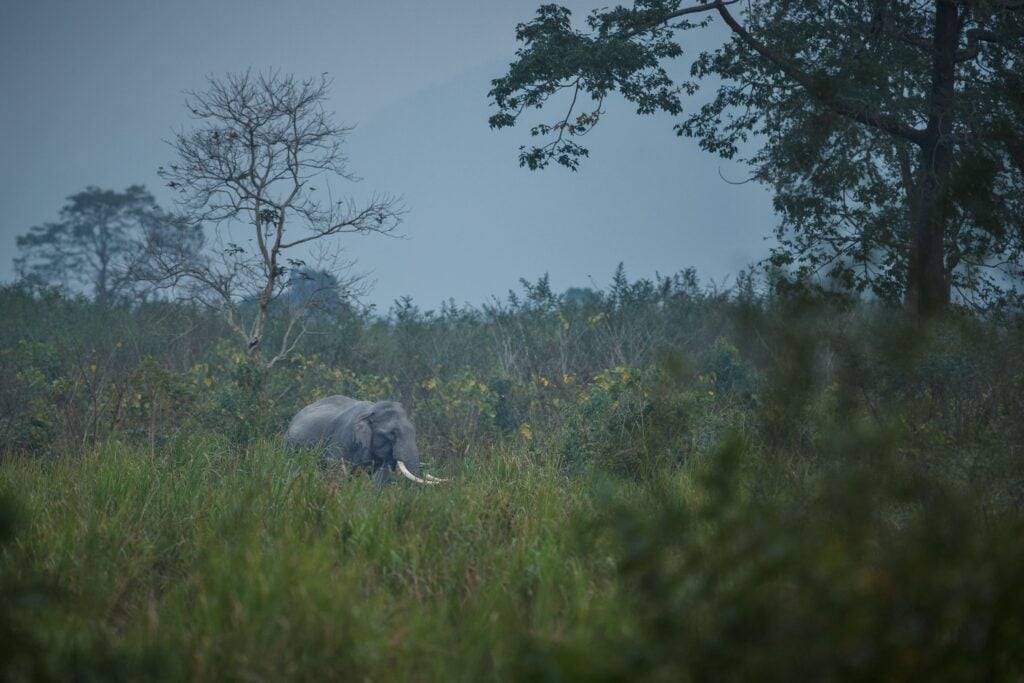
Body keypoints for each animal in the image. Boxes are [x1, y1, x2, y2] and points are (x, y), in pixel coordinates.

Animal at [284, 395, 445, 485]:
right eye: (392, 433)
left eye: (414, 431)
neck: (371, 410)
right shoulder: (342, 439)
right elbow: (336, 469)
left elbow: (382, 476)